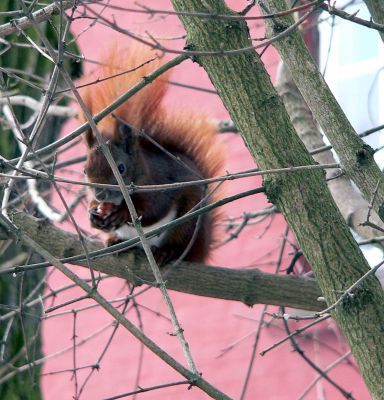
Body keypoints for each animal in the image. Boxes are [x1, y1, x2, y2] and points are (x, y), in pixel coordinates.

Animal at [79, 44, 222, 262]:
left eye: (121, 168)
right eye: (85, 171)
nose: (100, 194)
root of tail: (202, 248)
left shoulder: (160, 184)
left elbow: (154, 209)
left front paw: (122, 214)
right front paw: (93, 215)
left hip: (187, 222)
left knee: (178, 243)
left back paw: (166, 252)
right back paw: (116, 241)